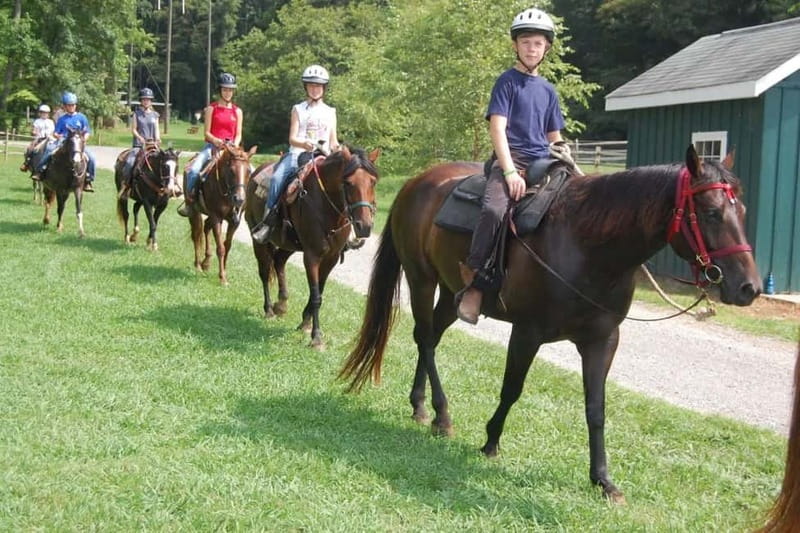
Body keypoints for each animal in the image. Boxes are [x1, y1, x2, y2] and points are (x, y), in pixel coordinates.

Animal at [187, 143, 257, 284]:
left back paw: (206, 263)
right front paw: (222, 278)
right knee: (196, 235)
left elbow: (227, 246)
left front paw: (224, 272)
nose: (239, 199)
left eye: (248, 171)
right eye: (231, 170)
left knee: (206, 227)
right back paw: (198, 265)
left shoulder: (234, 221)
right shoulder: (216, 217)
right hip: (194, 212)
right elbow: (220, 248)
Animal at [244, 145, 380, 348]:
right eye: (348, 183)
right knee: (265, 271)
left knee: (279, 262)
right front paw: (316, 337)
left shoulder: (331, 257)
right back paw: (269, 310)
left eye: (373, 182)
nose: (364, 226)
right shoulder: (311, 256)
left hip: (288, 244)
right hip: (260, 240)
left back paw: (281, 304)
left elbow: (319, 292)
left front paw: (305, 323)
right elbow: (316, 296)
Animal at [339, 145, 761, 503]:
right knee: (425, 338)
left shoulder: (602, 340)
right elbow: (511, 390)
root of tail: (416, 183)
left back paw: (420, 405)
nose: (749, 288)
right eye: (710, 212)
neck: (587, 244)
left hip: (451, 291)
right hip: (421, 278)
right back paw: (441, 416)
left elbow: (596, 409)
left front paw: (603, 480)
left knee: (431, 337)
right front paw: (490, 442)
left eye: (742, 213)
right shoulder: (527, 332)